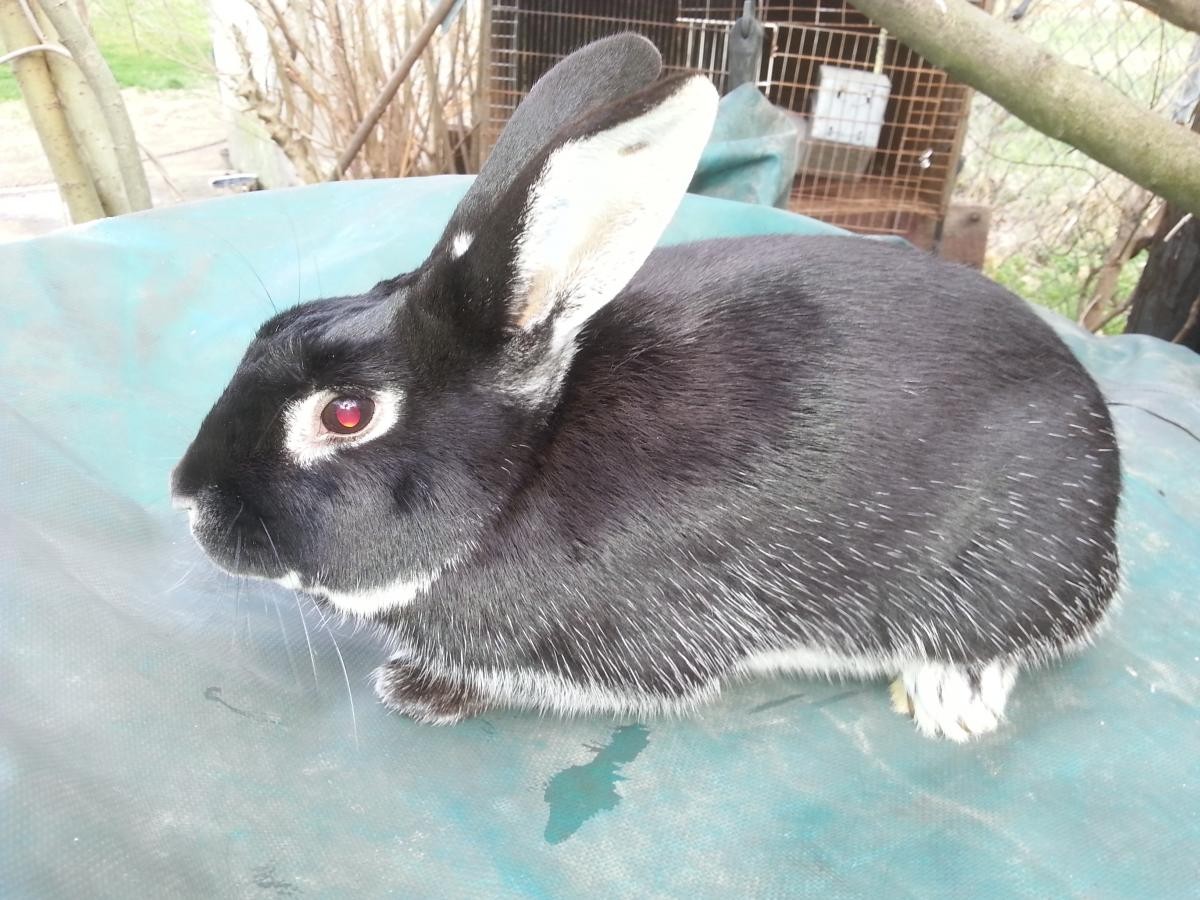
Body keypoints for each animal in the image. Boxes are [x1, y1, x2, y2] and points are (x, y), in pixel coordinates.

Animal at [172, 34, 1121, 742]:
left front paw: (421, 690)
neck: (520, 472)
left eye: (347, 413)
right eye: (272, 328)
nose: (188, 497)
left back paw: (952, 700)